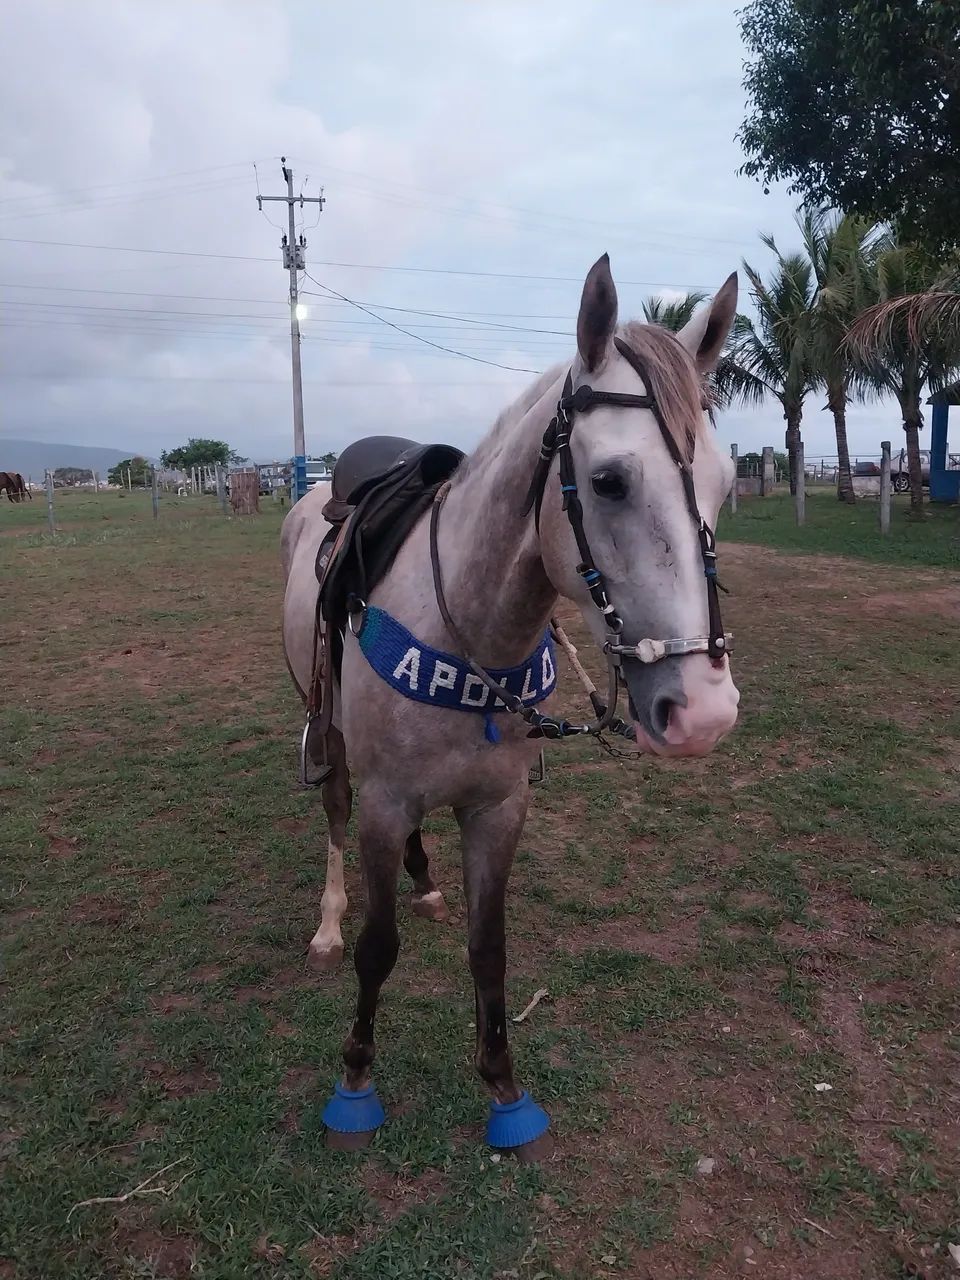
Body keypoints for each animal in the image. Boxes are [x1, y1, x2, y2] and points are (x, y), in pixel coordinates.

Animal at [281, 254, 740, 1158]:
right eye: (608, 481)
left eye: (727, 483)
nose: (704, 711)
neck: (465, 620)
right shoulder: (385, 802)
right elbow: (377, 950)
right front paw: (356, 1081)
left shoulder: (499, 806)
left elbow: (488, 947)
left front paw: (503, 1087)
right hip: (336, 741)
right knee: (334, 820)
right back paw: (326, 924)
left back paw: (426, 883)